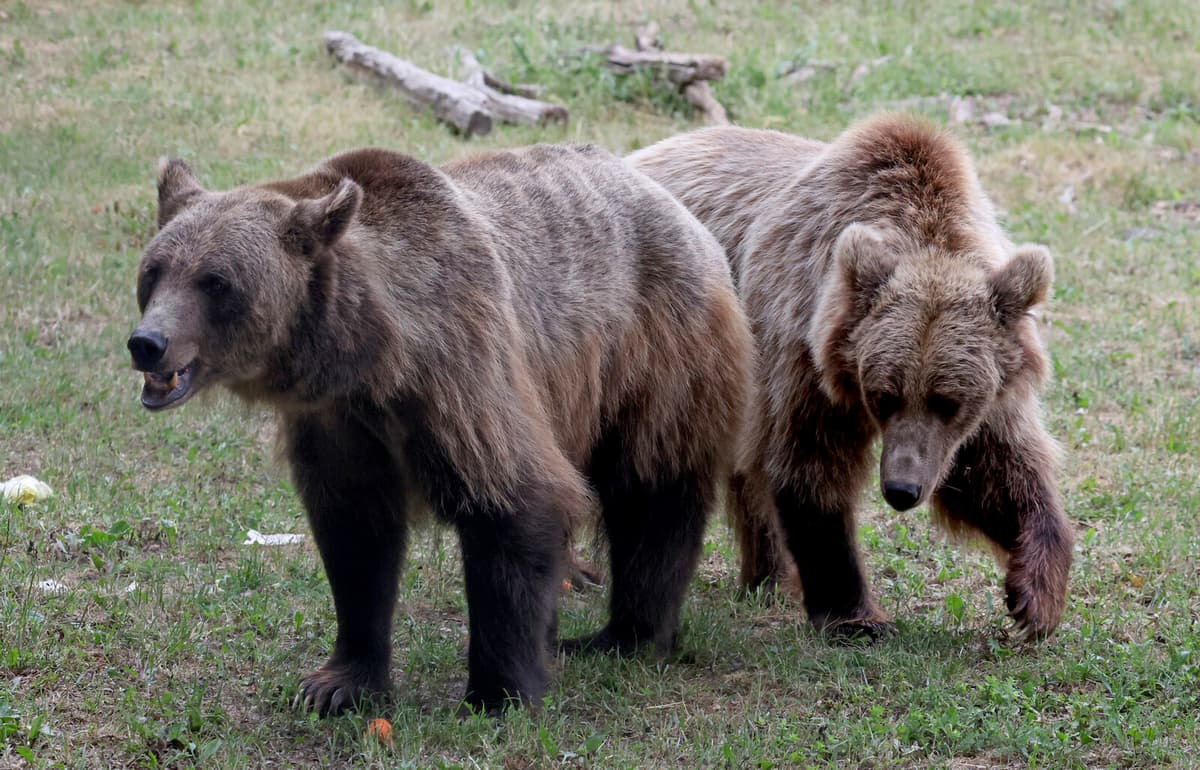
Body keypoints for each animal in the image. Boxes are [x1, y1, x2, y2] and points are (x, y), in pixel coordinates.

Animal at [127, 144, 752, 715]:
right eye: (154, 272)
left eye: (216, 281)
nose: (147, 343)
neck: (368, 358)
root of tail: (676, 205)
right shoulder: (339, 425)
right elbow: (356, 538)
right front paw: (337, 682)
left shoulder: (459, 373)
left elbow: (514, 504)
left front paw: (498, 692)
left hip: (656, 350)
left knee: (653, 491)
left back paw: (624, 636)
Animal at [629, 113, 1073, 640]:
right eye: (885, 395)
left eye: (947, 401)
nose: (901, 490)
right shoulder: (800, 348)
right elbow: (810, 466)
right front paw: (854, 614)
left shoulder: (991, 393)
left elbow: (996, 471)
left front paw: (1033, 596)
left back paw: (767, 577)